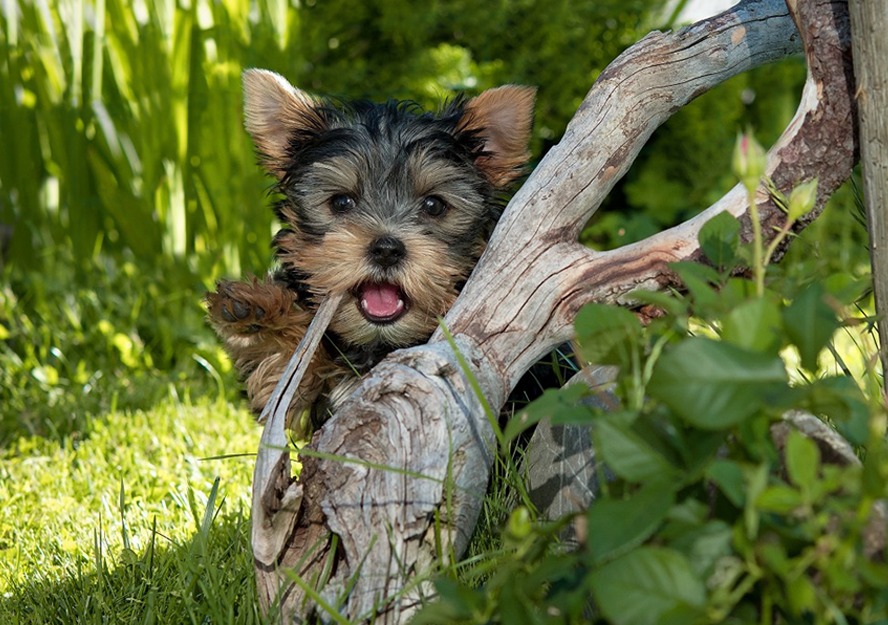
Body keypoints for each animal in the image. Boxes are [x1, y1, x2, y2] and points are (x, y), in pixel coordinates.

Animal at [206, 68, 536, 434]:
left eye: (434, 205)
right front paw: (259, 312)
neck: (378, 343)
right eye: (341, 202)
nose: (387, 249)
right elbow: (286, 378)